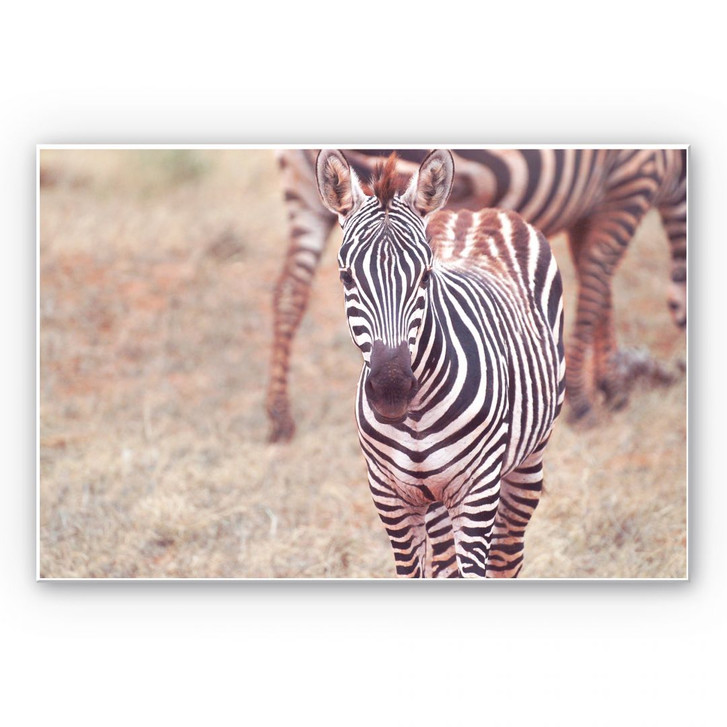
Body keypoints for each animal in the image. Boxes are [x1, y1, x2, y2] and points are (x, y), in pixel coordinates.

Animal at [267, 147, 686, 442]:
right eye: (346, 276)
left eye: (427, 275)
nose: (391, 388)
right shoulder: (631, 183)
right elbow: (597, 281)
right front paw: (588, 401)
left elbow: (598, 285)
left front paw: (611, 383)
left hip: (305, 195)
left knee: (289, 293)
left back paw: (279, 418)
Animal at [315, 149, 565, 577]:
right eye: (347, 278)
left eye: (426, 275)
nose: (392, 388)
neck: (415, 414)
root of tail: (475, 211)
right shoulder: (390, 495)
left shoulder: (477, 490)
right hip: (434, 500)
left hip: (529, 458)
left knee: (507, 555)